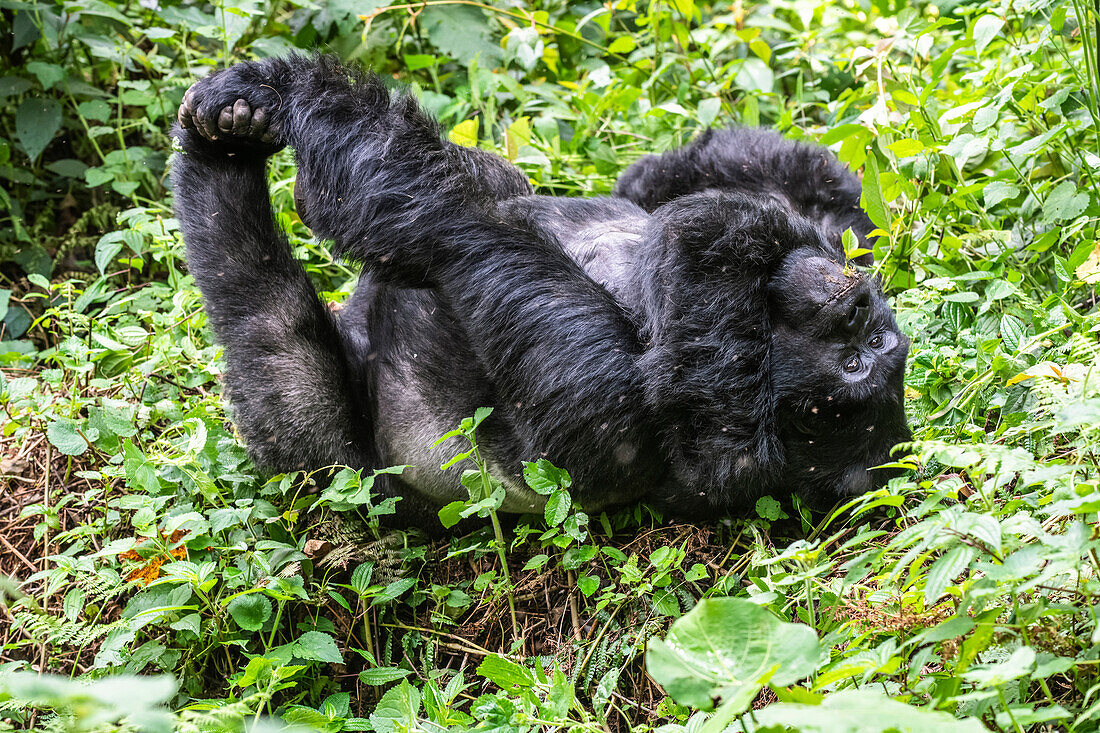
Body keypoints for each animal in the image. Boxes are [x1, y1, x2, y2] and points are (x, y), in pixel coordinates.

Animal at [169, 54, 910, 517]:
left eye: (853, 369)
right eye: (867, 335)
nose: (851, 308)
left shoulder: (708, 438)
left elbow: (466, 233)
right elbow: (768, 190)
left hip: (334, 468)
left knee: (273, 334)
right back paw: (227, 142)